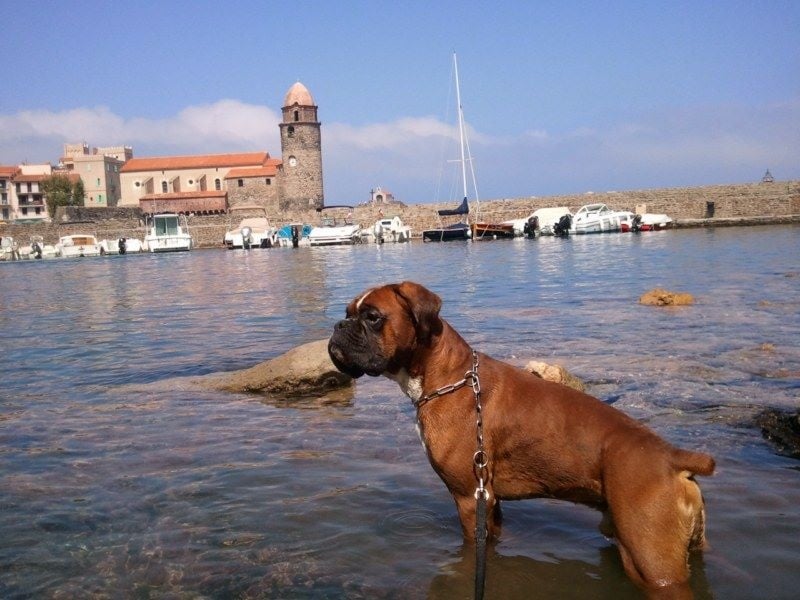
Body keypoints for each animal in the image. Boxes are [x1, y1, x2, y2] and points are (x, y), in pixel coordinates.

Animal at [328, 282, 716, 596]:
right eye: (348, 313)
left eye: (372, 317)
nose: (338, 325)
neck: (450, 377)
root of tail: (673, 457)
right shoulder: (489, 500)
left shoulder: (468, 499)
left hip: (652, 562)